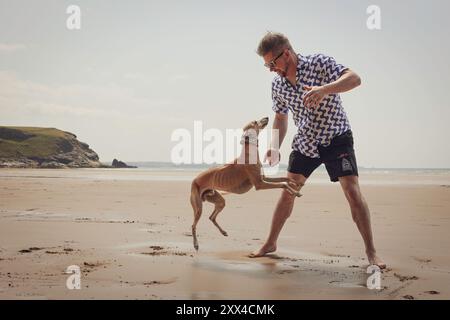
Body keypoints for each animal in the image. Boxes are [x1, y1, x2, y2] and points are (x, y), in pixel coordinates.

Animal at [190, 116, 302, 251]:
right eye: (255, 122)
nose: (267, 117)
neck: (250, 153)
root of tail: (195, 179)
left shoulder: (263, 178)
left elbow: (283, 178)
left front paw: (295, 183)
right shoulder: (259, 184)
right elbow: (283, 184)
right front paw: (295, 192)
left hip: (219, 200)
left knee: (211, 217)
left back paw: (223, 232)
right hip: (198, 208)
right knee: (193, 225)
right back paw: (196, 244)